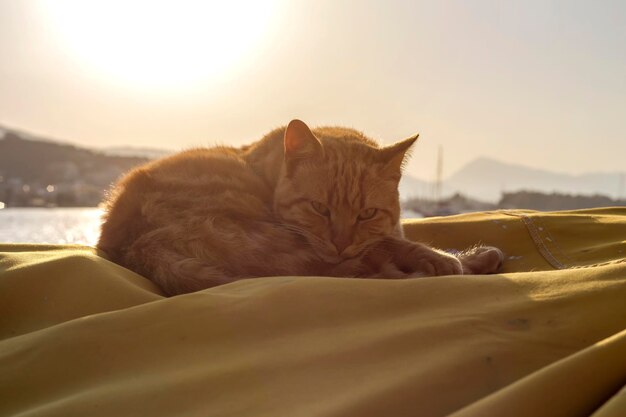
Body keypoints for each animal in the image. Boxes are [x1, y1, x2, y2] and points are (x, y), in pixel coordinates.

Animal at [98, 118, 502, 294]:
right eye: (319, 208)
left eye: (366, 213)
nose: (340, 243)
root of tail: (134, 245)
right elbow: (398, 245)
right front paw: (445, 258)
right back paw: (474, 259)